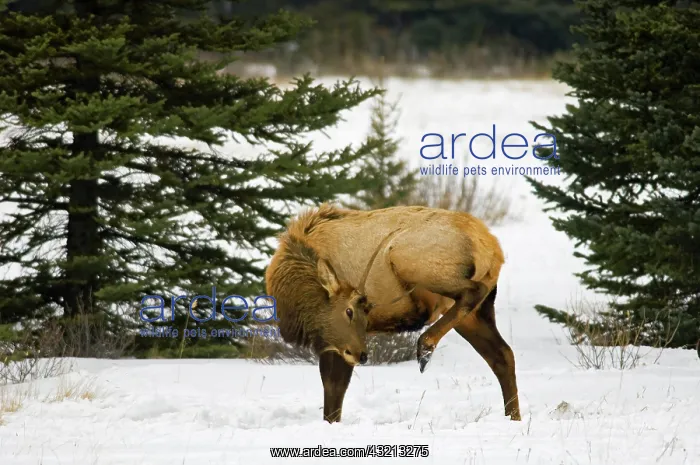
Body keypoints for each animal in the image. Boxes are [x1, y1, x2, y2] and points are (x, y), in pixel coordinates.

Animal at [265, 203, 520, 424]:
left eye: (356, 310)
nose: (363, 356)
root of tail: (491, 247)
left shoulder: (341, 343)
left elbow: (334, 388)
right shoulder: (337, 344)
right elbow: (333, 392)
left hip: (408, 259)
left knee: (474, 291)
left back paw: (425, 347)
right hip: (474, 313)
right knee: (502, 354)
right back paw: (514, 417)